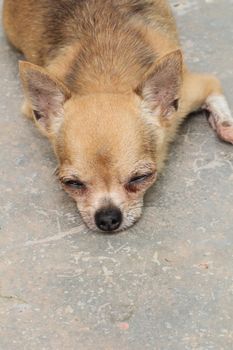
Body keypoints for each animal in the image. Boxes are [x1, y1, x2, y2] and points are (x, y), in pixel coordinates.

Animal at [3, 0, 233, 232]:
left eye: (140, 178)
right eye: (72, 183)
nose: (107, 218)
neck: (106, 76)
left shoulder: (192, 90)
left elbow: (215, 92)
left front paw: (227, 127)